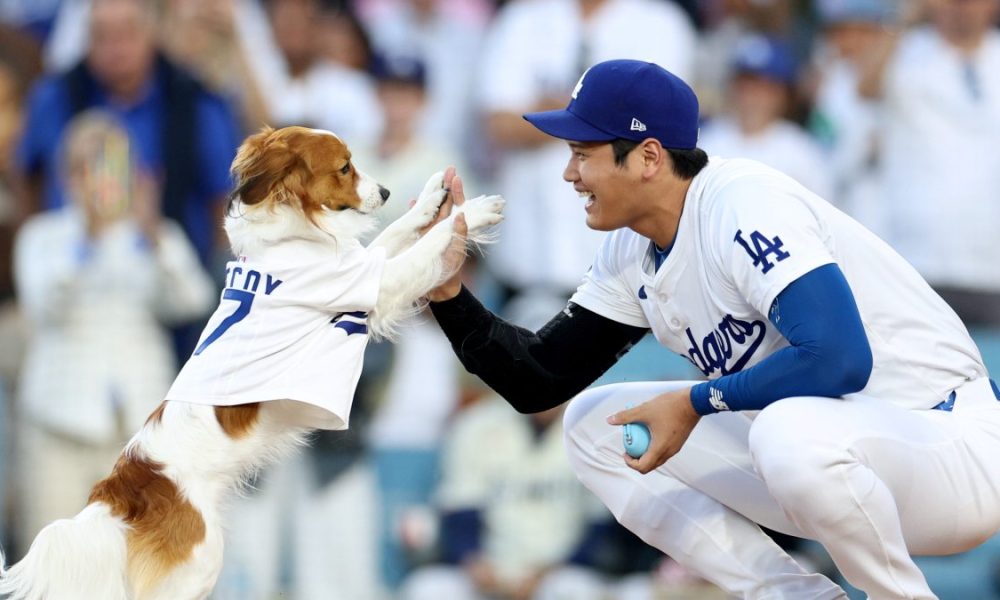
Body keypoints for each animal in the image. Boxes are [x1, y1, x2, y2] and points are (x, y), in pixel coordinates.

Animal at [0, 126, 500, 600]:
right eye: (344, 167)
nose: (387, 192)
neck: (288, 235)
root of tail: (118, 496)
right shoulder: (371, 285)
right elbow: (426, 246)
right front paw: (472, 212)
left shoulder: (362, 268)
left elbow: (393, 237)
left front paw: (434, 197)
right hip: (199, 566)